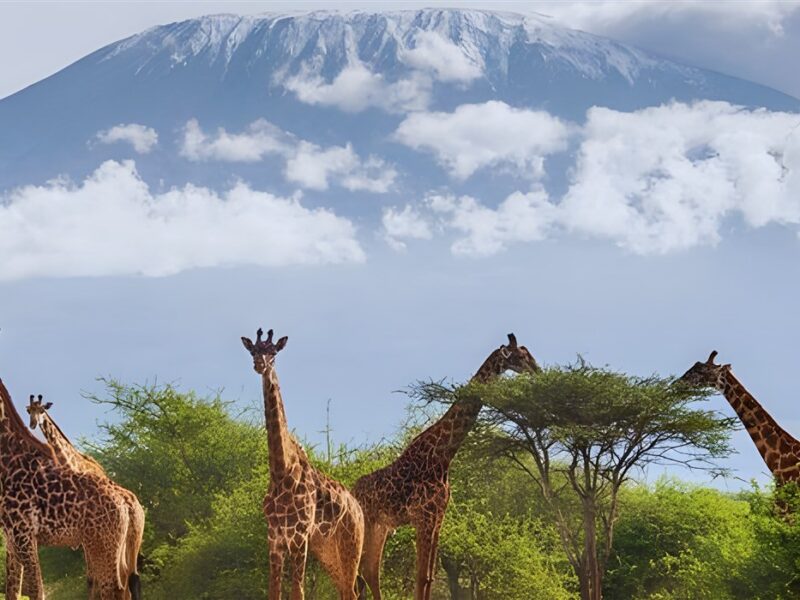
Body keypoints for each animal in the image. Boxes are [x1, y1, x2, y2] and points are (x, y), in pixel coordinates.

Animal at [0, 378, 133, 600]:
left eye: (41, 409)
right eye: (28, 410)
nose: (33, 424)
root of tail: (126, 502)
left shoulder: (24, 534)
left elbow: (36, 591)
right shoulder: (11, 537)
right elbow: (13, 590)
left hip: (103, 545)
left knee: (112, 587)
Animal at [26, 394, 145, 599]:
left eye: (42, 410)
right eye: (29, 411)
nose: (33, 424)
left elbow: (92, 578)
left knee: (122, 575)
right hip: (127, 539)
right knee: (127, 575)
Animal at [241, 328, 365, 600]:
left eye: (274, 352)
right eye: (253, 351)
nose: (259, 365)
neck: (281, 470)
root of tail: (359, 509)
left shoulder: (298, 535)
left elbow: (298, 590)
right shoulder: (274, 537)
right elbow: (274, 591)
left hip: (351, 543)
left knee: (351, 590)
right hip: (328, 550)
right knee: (347, 589)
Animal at [354, 333, 540, 600]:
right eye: (521, 356)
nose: (538, 370)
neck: (443, 455)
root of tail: (352, 490)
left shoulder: (437, 518)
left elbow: (429, 577)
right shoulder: (423, 516)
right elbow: (421, 577)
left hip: (381, 526)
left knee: (368, 572)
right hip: (368, 523)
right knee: (363, 572)